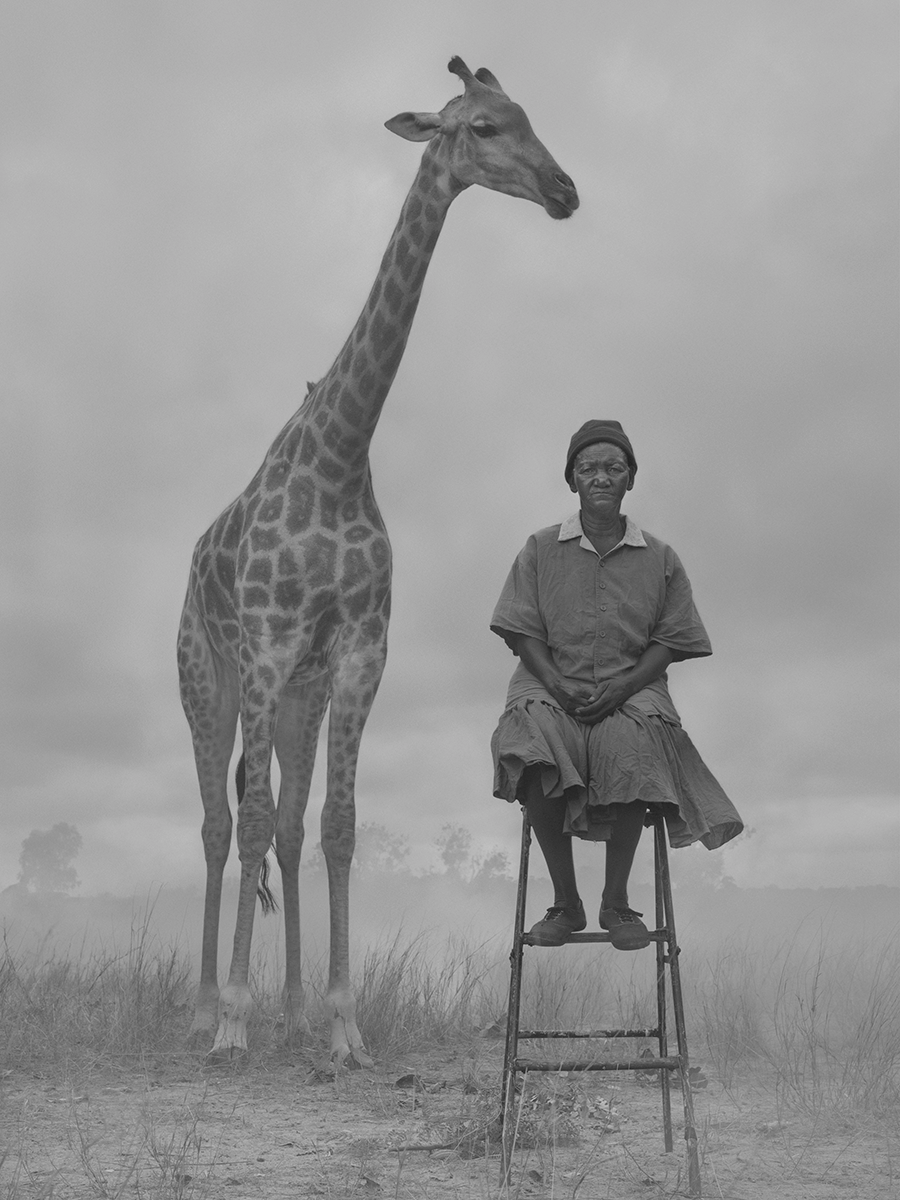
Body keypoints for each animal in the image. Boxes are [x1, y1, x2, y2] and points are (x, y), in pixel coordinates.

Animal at [180, 58, 580, 1070]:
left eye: (530, 115)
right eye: (481, 127)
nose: (565, 190)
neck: (339, 455)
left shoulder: (358, 653)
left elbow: (337, 825)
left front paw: (340, 1024)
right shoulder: (268, 647)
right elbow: (247, 821)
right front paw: (235, 1020)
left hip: (299, 694)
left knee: (283, 824)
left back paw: (283, 1009)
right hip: (207, 677)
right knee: (218, 823)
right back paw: (204, 1012)